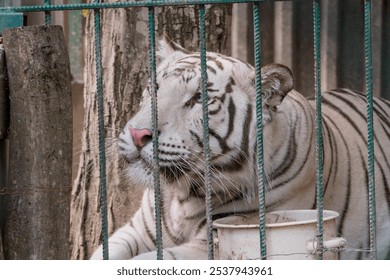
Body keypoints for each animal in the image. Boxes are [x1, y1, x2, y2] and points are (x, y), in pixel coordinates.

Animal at [91, 38, 390, 260]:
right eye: (153, 87)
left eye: (199, 98)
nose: (138, 134)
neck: (181, 195)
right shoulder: (137, 231)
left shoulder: (212, 241)